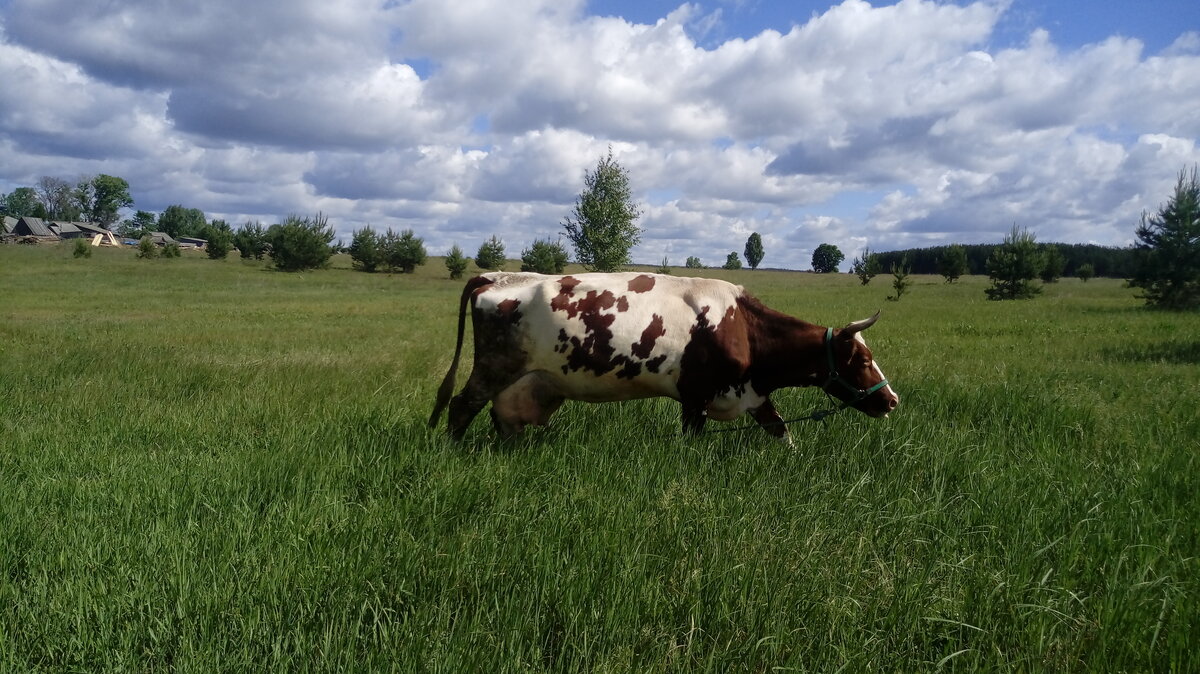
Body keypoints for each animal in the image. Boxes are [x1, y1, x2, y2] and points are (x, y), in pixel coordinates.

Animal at [427, 269, 897, 438]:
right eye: (860, 359)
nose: (892, 400)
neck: (742, 326)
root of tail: (498, 276)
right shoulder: (696, 397)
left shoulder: (754, 394)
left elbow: (783, 433)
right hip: (494, 366)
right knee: (461, 405)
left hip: (525, 381)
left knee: (502, 417)